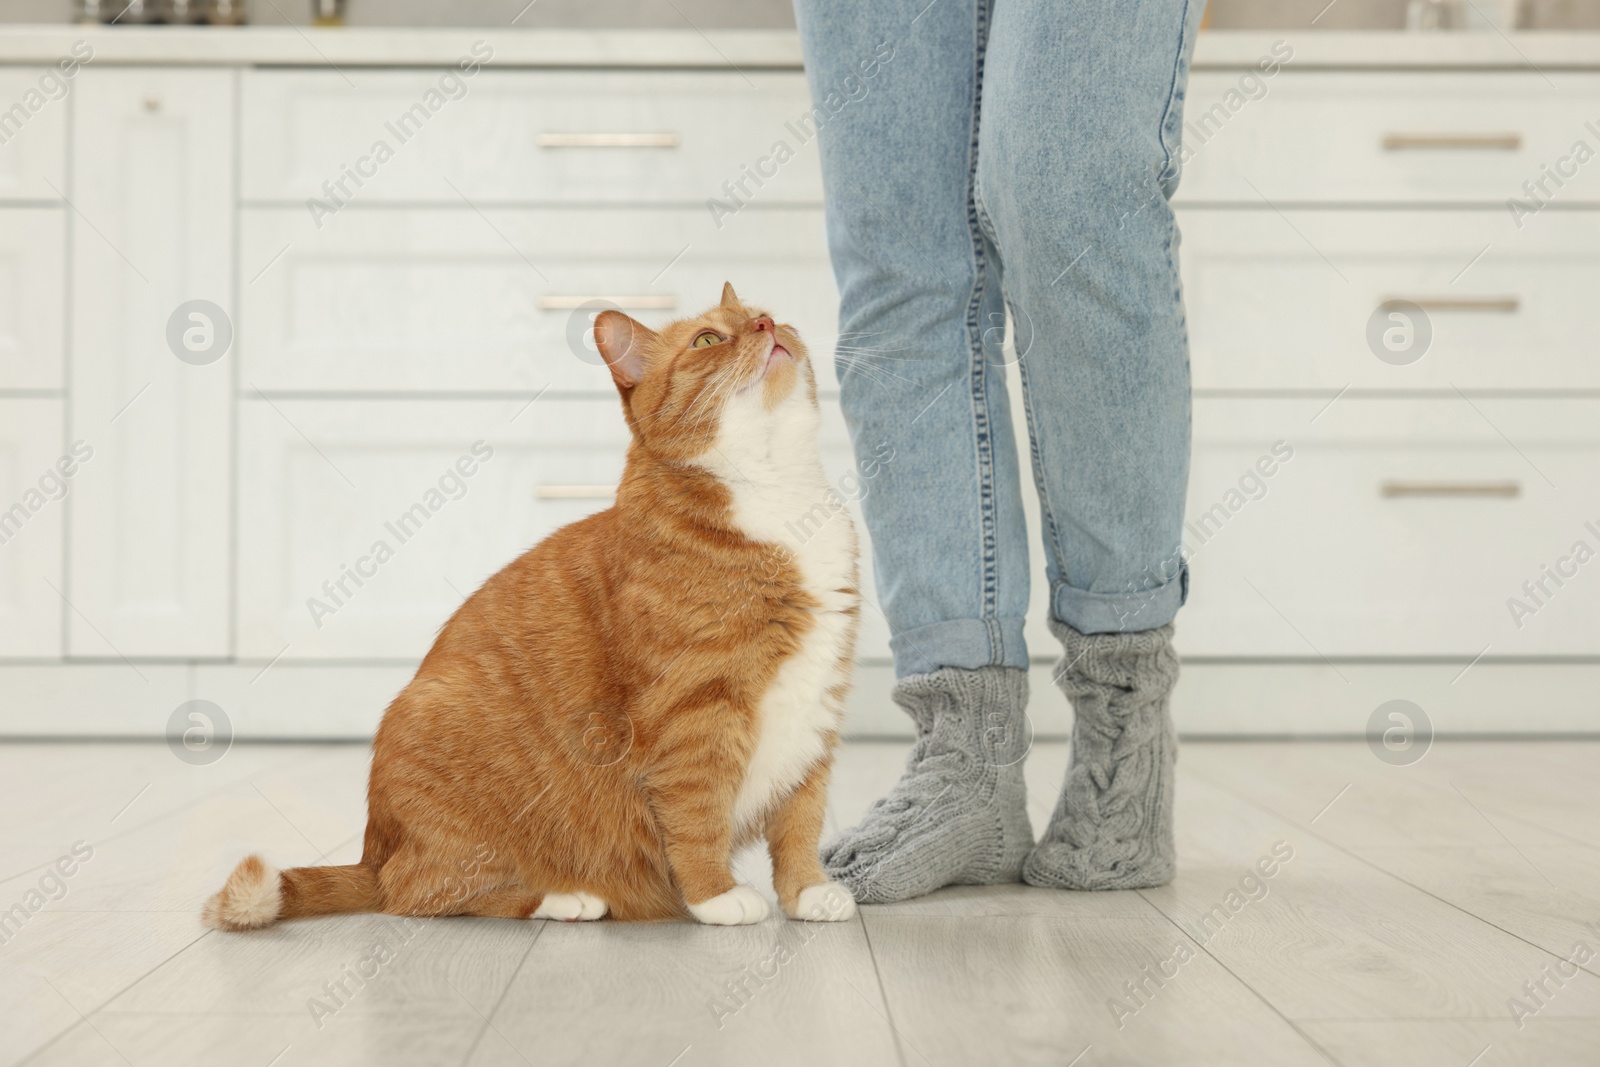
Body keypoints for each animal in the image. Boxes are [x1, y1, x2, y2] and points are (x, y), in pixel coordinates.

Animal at [204, 287, 857, 927]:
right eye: (707, 340)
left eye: (765, 315)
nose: (767, 326)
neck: (775, 494)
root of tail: (373, 851)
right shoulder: (694, 714)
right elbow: (697, 818)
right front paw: (715, 896)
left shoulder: (816, 711)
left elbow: (800, 824)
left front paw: (807, 892)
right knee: (418, 892)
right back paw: (567, 898)